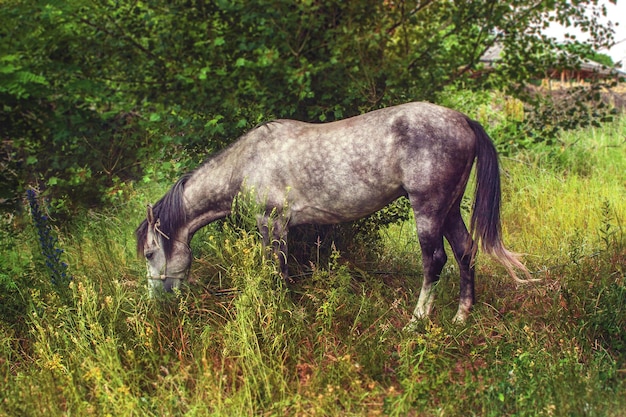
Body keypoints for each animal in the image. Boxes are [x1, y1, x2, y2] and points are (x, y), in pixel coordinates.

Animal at [135, 102, 532, 324]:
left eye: (150, 252)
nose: (157, 302)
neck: (247, 162)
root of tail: (463, 120)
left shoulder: (273, 224)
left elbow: (278, 271)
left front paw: (284, 315)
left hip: (429, 209)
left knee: (434, 261)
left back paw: (416, 321)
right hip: (449, 209)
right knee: (466, 250)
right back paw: (462, 316)